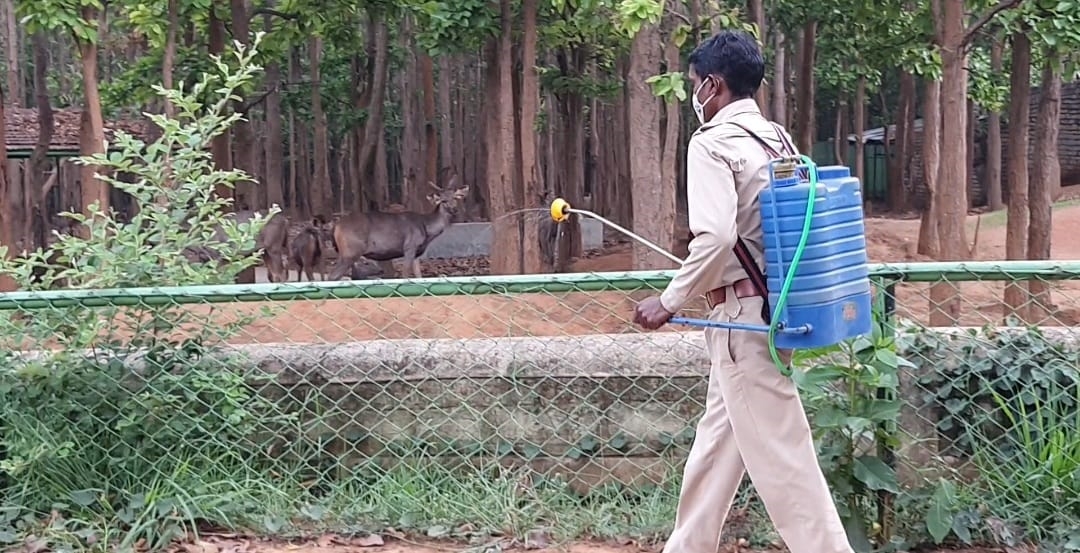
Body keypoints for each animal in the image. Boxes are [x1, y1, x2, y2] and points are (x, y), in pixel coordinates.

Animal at [324, 173, 468, 280]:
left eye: (456, 198)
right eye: (443, 201)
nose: (455, 210)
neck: (426, 228)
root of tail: (336, 225)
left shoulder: (417, 253)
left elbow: (419, 276)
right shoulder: (409, 246)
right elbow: (405, 275)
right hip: (351, 251)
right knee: (332, 277)